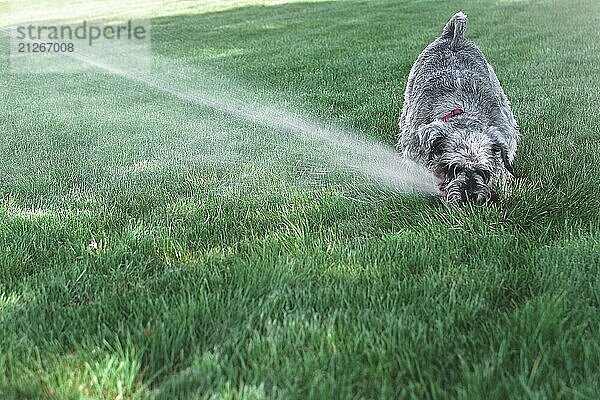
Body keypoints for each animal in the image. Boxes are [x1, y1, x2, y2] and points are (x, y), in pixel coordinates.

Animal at [396, 11, 516, 206]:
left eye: (483, 171)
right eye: (451, 168)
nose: (469, 195)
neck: (460, 109)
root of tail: (453, 36)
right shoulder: (414, 146)